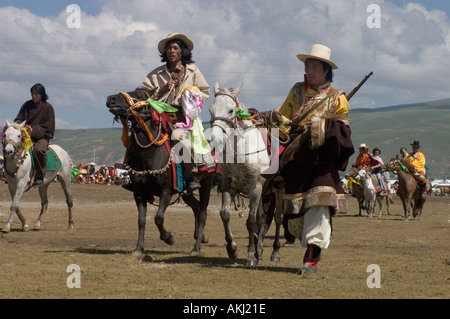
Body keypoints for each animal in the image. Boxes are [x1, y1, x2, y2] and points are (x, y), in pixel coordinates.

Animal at [106, 87, 213, 260]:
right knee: (196, 208)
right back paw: (200, 236)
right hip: (186, 191)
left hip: (207, 183)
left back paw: (196, 248)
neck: (149, 153)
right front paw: (139, 249)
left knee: (202, 212)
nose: (111, 99)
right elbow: (141, 220)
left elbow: (158, 217)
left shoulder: (166, 191)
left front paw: (168, 238)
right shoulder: (139, 193)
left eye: (139, 95)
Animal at [207, 82, 270, 268]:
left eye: (230, 110)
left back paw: (261, 252)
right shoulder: (228, 186)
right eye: (211, 110)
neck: (240, 153)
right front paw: (232, 249)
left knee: (264, 219)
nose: (215, 139)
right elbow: (225, 214)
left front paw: (250, 256)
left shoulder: (255, 188)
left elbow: (250, 221)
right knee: (260, 218)